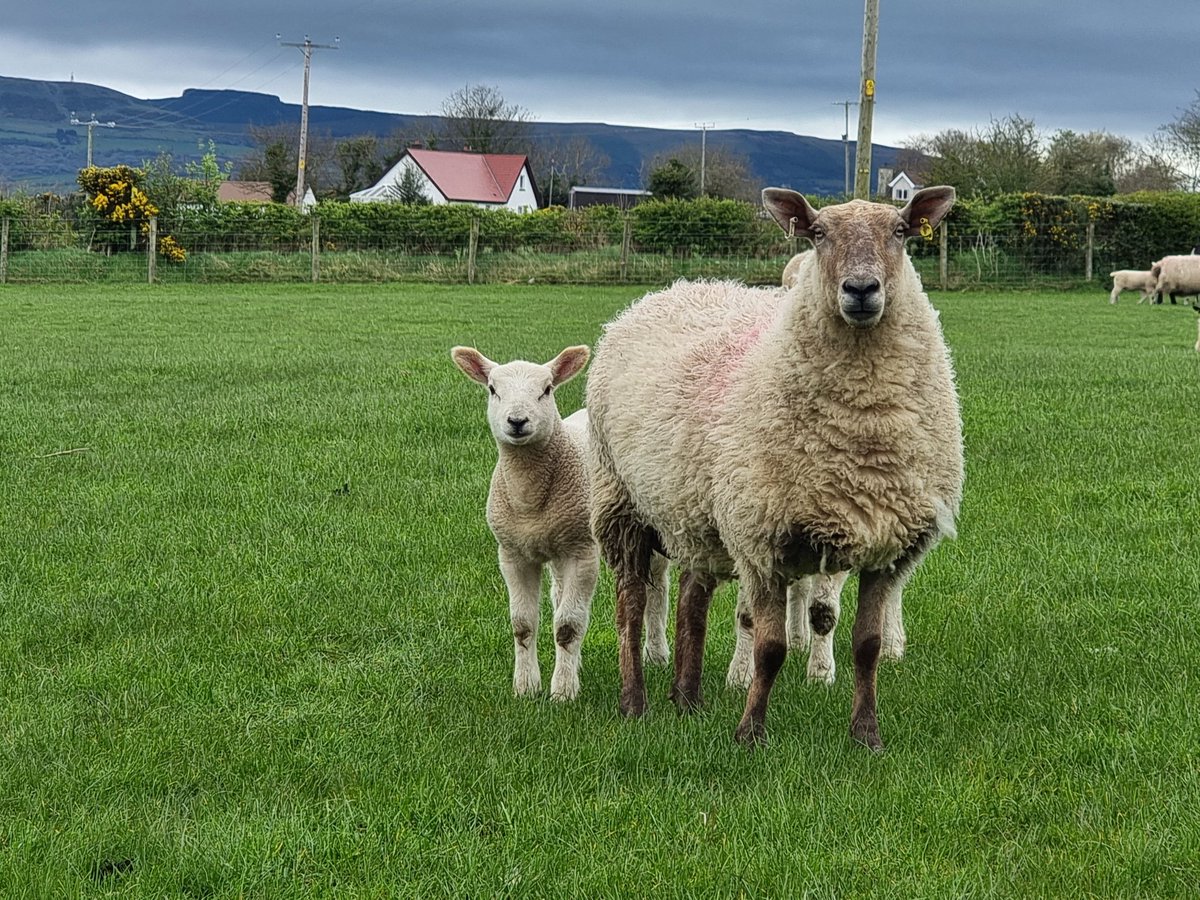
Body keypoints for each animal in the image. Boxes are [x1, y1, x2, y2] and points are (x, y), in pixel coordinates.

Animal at [585, 187, 960, 748]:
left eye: (900, 231)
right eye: (818, 233)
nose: (861, 289)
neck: (864, 429)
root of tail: (674, 289)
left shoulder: (886, 546)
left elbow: (867, 645)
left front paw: (866, 734)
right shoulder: (762, 540)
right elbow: (770, 648)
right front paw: (750, 732)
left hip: (694, 509)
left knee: (691, 601)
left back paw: (687, 699)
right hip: (621, 502)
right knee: (630, 605)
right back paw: (635, 702)